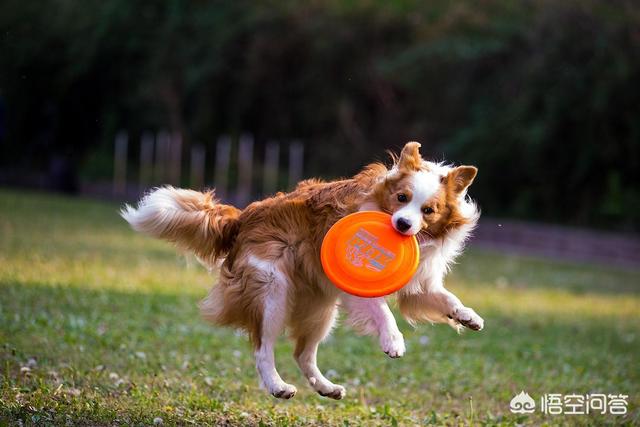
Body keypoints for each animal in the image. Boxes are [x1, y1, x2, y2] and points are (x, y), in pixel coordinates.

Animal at [120, 143, 482, 402]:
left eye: (428, 210)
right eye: (401, 197)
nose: (403, 224)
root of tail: (242, 217)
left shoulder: (419, 285)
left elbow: (444, 298)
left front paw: (468, 317)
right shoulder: (354, 285)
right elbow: (381, 309)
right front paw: (393, 340)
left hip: (320, 307)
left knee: (302, 353)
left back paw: (326, 387)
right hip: (273, 291)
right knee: (262, 347)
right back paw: (277, 386)